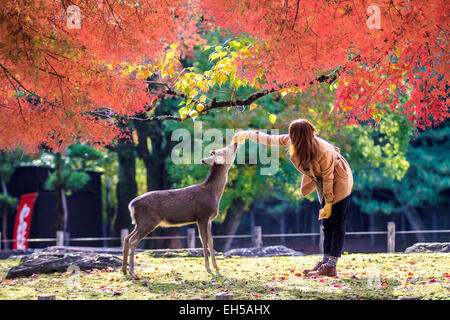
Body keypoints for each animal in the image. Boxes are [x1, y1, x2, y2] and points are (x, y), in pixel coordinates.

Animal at [119, 141, 239, 278]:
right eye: (225, 150)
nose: (235, 143)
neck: (213, 194)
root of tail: (131, 205)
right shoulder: (202, 215)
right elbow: (203, 240)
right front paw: (208, 268)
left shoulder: (209, 219)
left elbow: (211, 241)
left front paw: (217, 268)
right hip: (148, 221)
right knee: (133, 240)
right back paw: (132, 272)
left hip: (139, 223)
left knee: (126, 238)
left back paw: (123, 270)